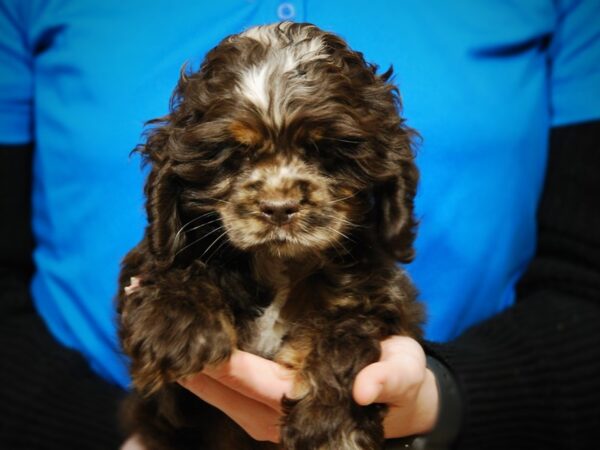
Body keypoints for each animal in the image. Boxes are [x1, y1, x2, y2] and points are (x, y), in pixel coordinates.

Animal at [117, 22, 424, 450]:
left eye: (324, 153)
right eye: (234, 156)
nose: (279, 208)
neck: (281, 264)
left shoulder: (378, 296)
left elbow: (345, 334)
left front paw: (329, 424)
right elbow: (182, 263)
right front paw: (175, 324)